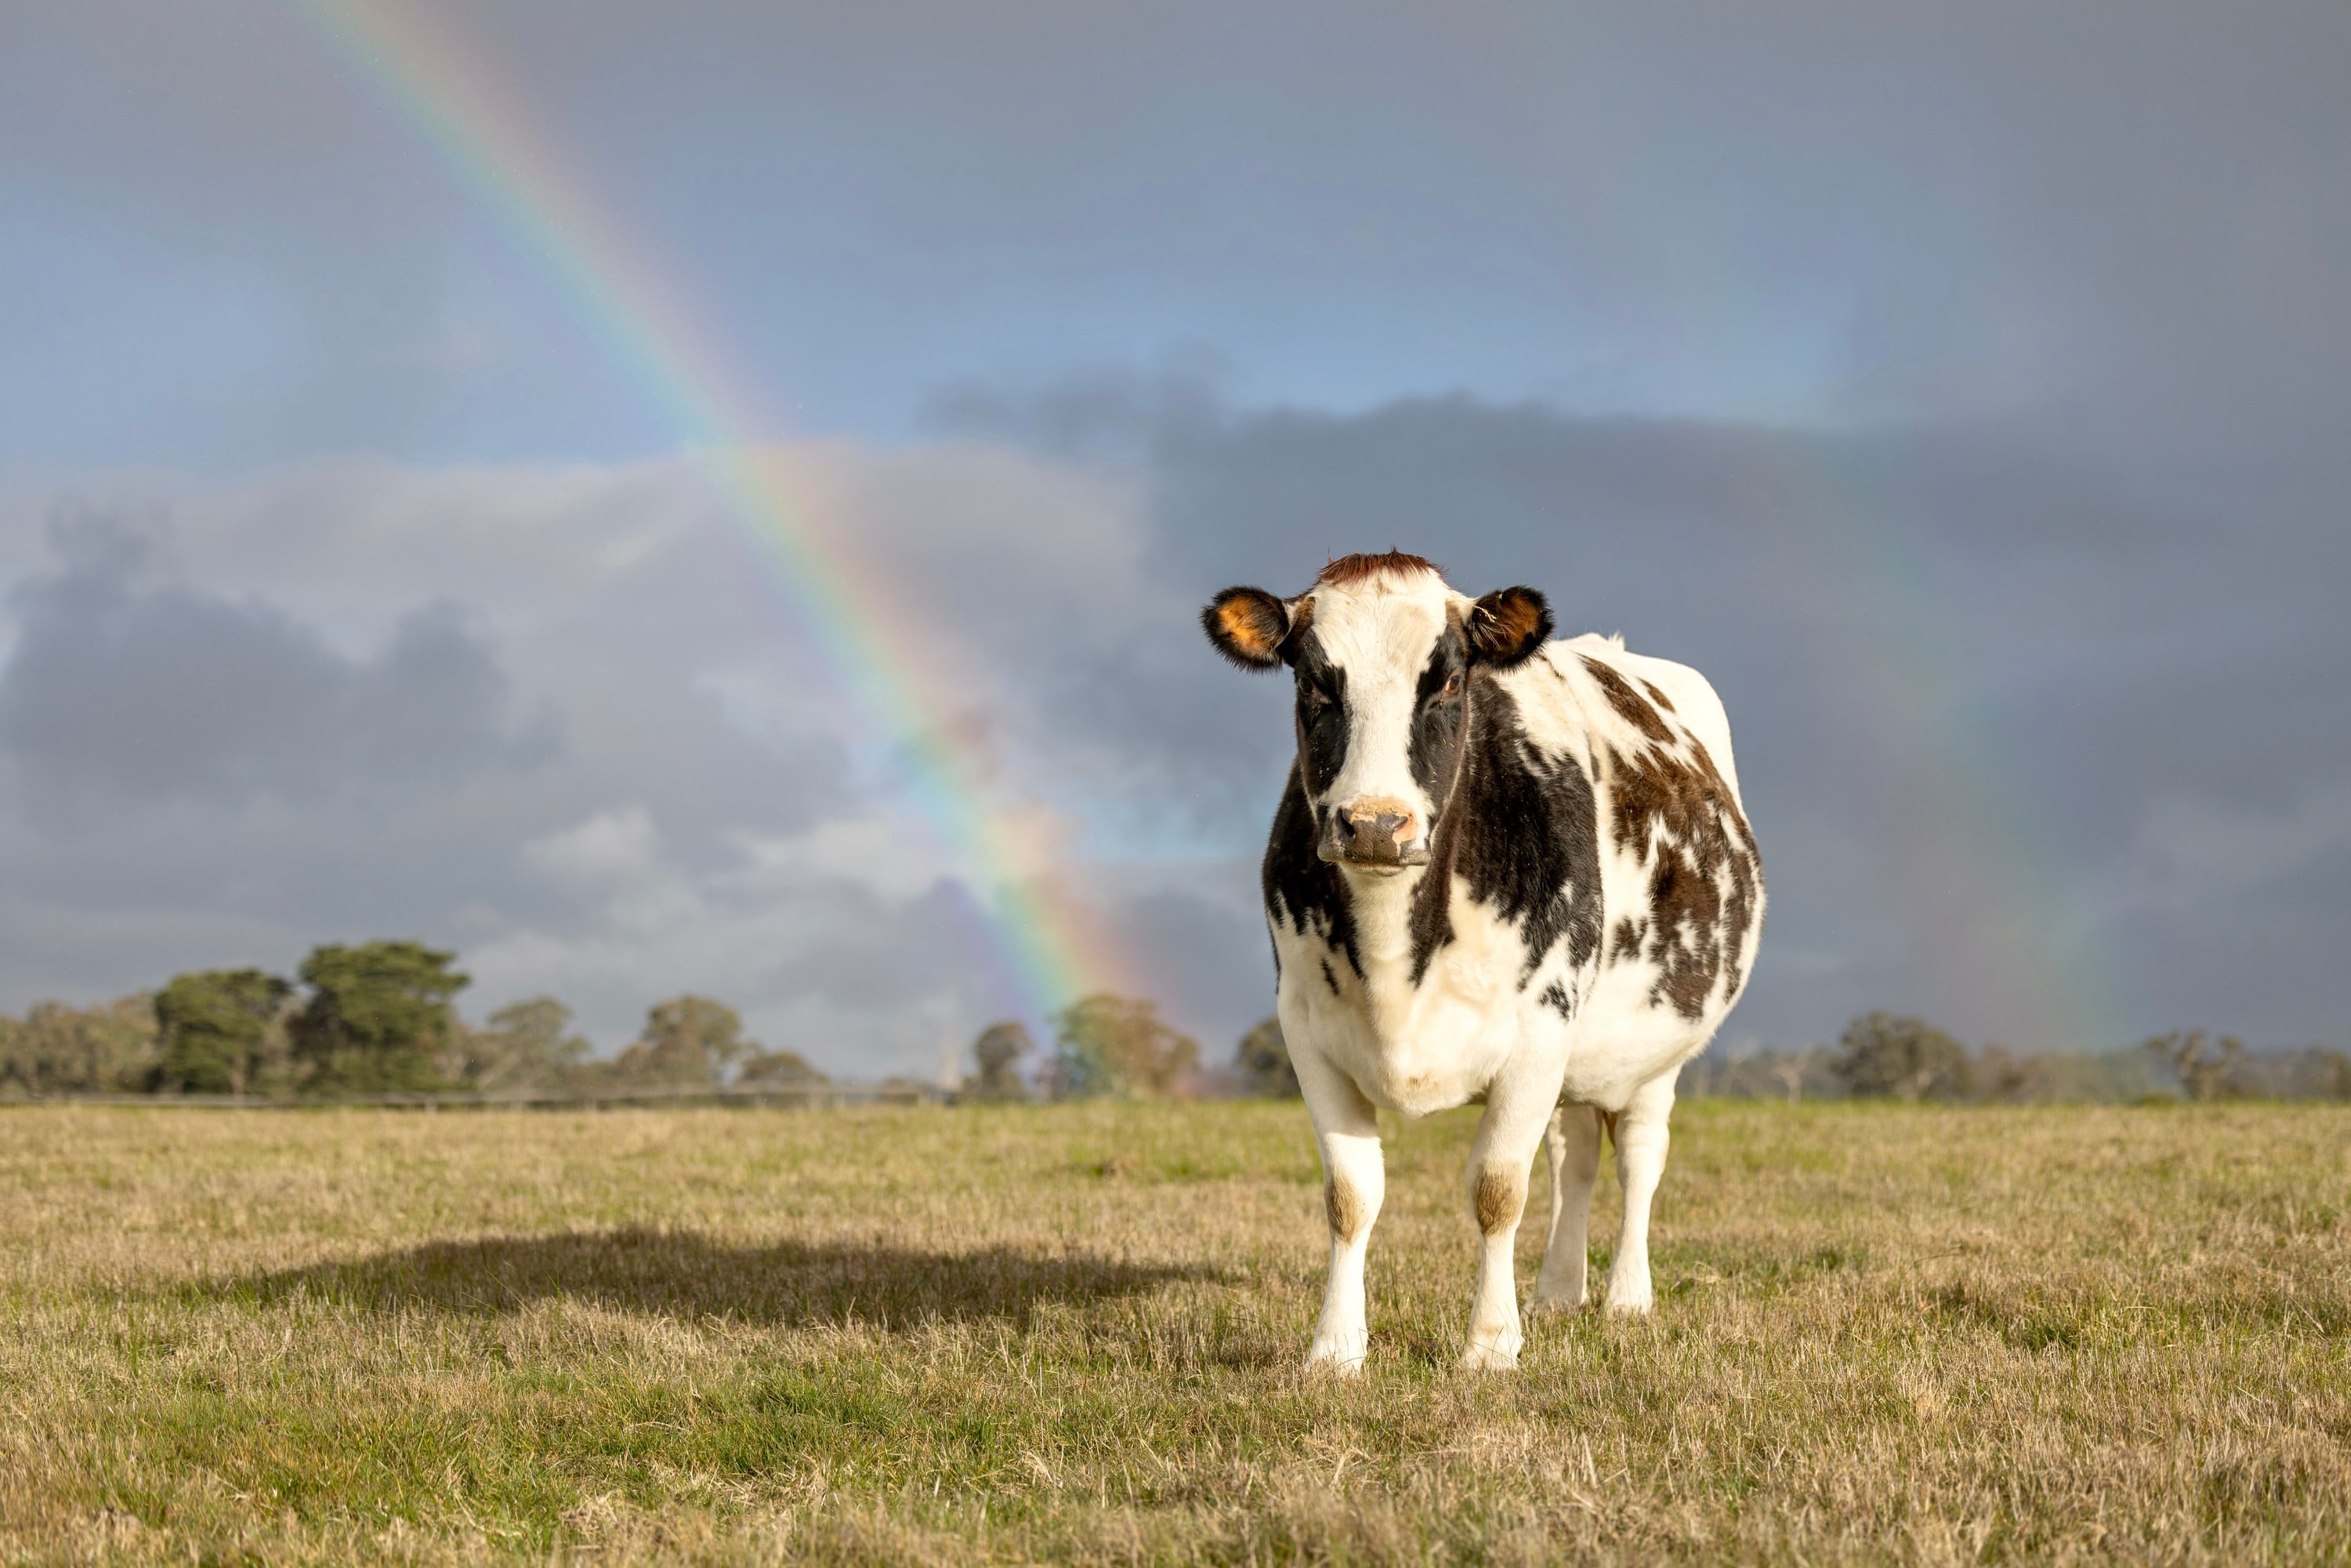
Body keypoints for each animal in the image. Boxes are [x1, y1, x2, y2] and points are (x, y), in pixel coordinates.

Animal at [1203, 551, 1763, 1372]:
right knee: (1576, 1157)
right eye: (1314, 682)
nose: (1377, 824)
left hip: (1660, 1048)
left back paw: (1627, 1297)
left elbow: (1498, 1190)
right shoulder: (1306, 1027)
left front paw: (1492, 1344)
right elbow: (1350, 1196)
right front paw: (1335, 1348)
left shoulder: (1540, 1028)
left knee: (1638, 1155)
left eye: (1447, 681)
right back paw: (1558, 1290)